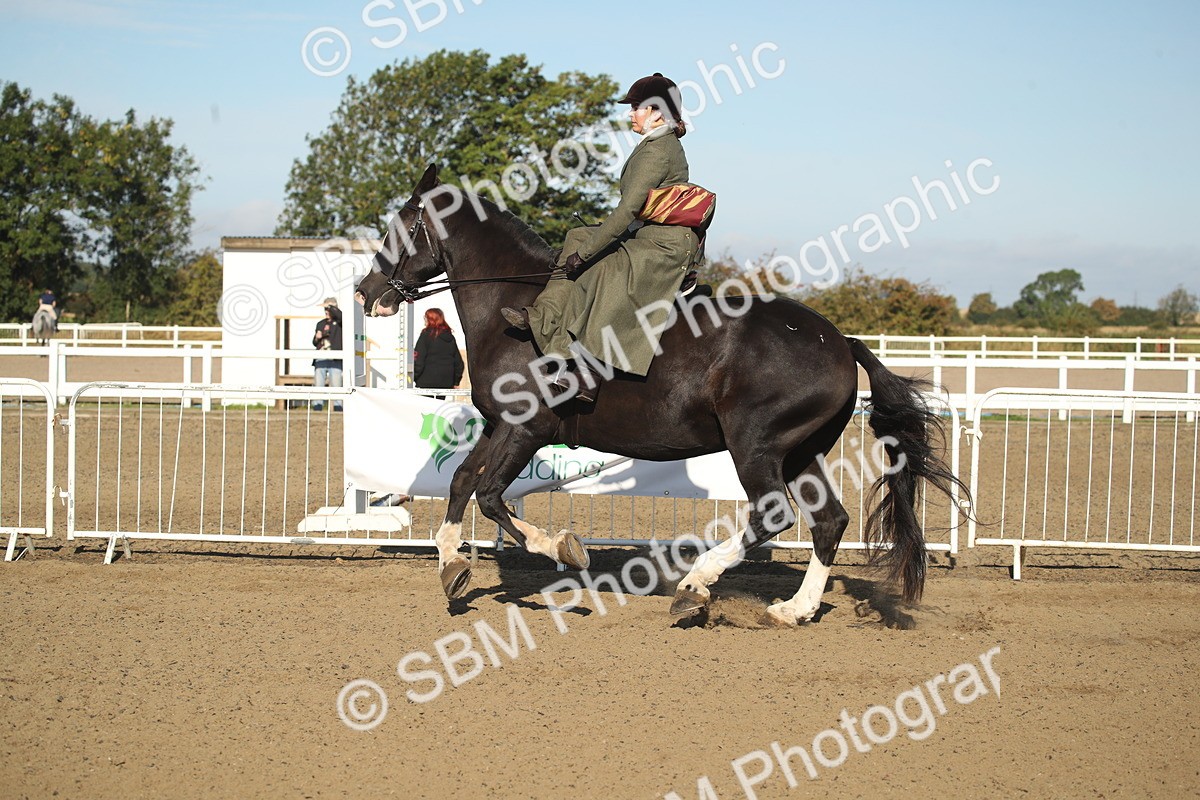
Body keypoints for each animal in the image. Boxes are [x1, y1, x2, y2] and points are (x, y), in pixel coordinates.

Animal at [355, 165, 967, 625]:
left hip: (756, 446)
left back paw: (695, 587)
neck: (516, 308)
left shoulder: (526, 428)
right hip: (800, 452)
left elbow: (489, 496)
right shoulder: (499, 424)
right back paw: (792, 609)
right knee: (829, 522)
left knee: (773, 516)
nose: (365, 293)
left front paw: (561, 547)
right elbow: (462, 482)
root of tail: (839, 340)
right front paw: (451, 566)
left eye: (398, 228)